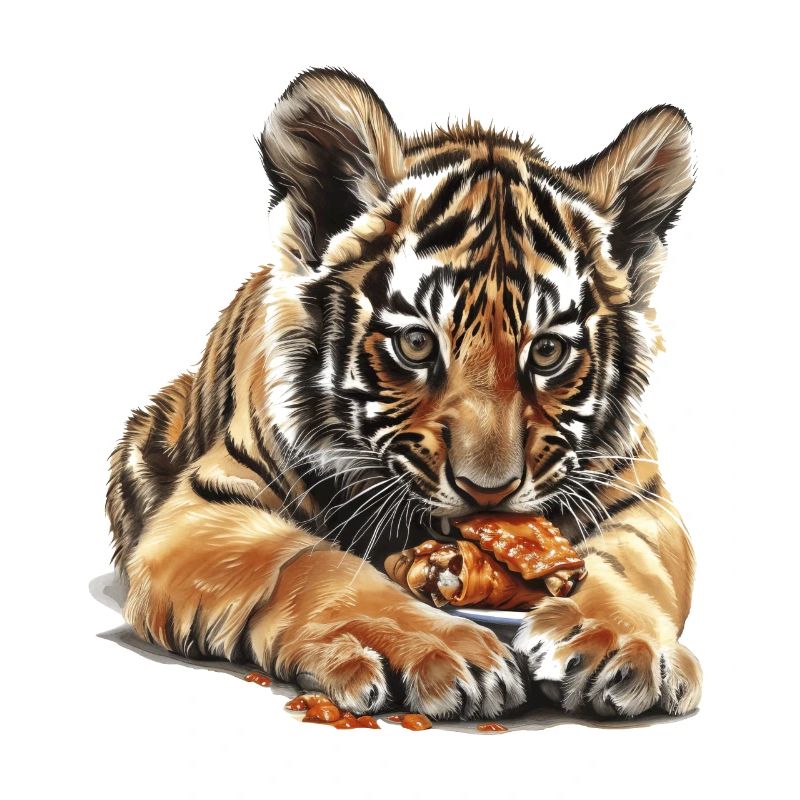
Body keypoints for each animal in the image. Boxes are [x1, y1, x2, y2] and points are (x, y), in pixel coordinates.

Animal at [107, 67, 701, 721]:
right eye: (416, 344)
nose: (487, 493)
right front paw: (434, 647)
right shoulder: (208, 512)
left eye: (547, 351)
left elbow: (627, 568)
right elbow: (315, 566)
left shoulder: (644, 504)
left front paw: (617, 641)